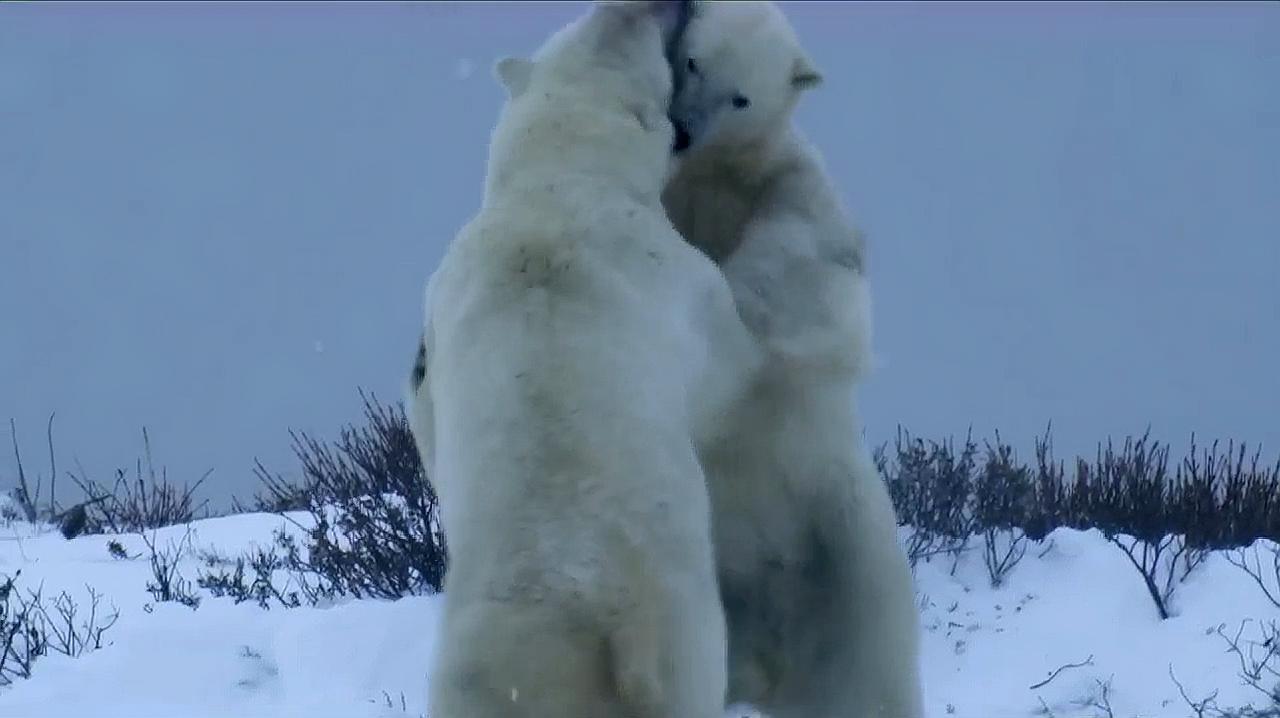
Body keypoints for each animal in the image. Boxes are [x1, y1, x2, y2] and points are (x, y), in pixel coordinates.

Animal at [404, 2, 757, 711]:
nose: (657, 4)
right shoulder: (684, 285)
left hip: (475, 682)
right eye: (658, 48)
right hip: (683, 641)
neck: (555, 183)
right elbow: (733, 377)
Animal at [665, 2, 926, 711]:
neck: (713, 173)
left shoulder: (792, 188)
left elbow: (799, 267)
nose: (682, 131)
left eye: (742, 96)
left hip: (849, 572)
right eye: (693, 60)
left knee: (868, 690)